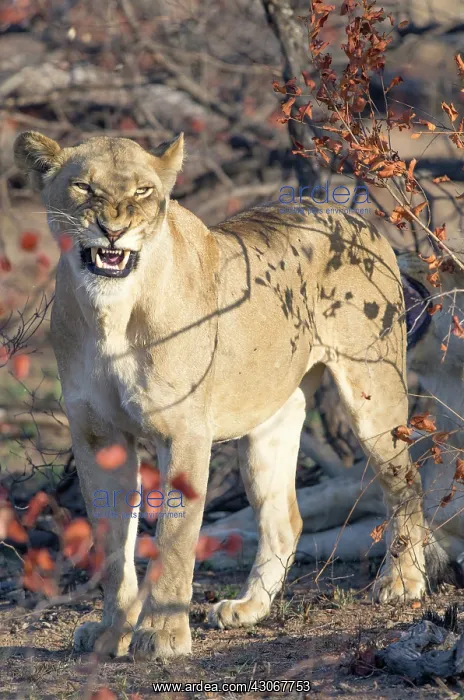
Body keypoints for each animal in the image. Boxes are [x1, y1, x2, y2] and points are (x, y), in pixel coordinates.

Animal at [14, 130, 442, 660]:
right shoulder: (97, 435)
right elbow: (112, 543)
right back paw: (249, 608)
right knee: (286, 520)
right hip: (269, 425)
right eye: (84, 187)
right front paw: (112, 631)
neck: (109, 311)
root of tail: (357, 219)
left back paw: (402, 582)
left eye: (142, 192)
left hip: (372, 393)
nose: (112, 230)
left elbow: (174, 538)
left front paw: (162, 636)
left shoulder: (183, 432)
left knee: (406, 482)